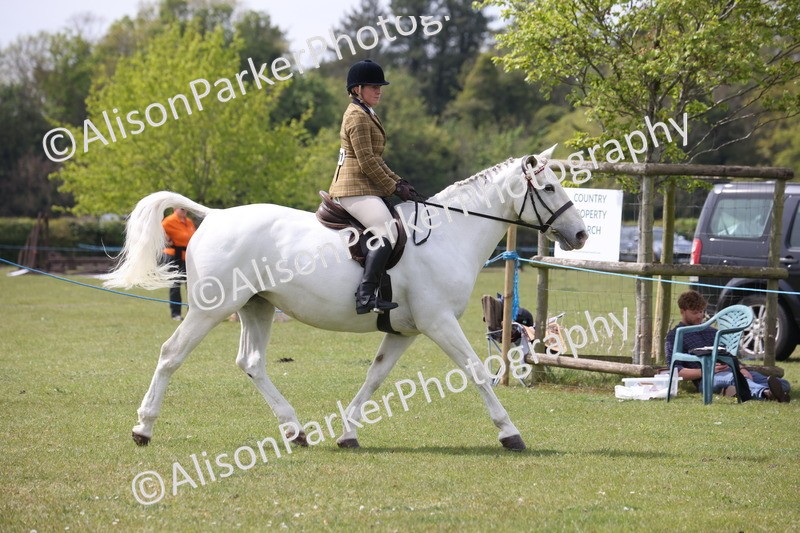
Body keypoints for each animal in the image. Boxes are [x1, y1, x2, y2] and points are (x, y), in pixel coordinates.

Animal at [104, 144, 588, 451]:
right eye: (549, 189)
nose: (580, 235)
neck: (448, 234)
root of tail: (216, 216)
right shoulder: (439, 323)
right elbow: (476, 372)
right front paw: (510, 433)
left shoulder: (406, 331)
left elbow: (374, 377)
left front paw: (348, 433)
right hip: (212, 308)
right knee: (171, 354)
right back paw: (143, 428)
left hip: (258, 306)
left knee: (251, 363)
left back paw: (295, 430)